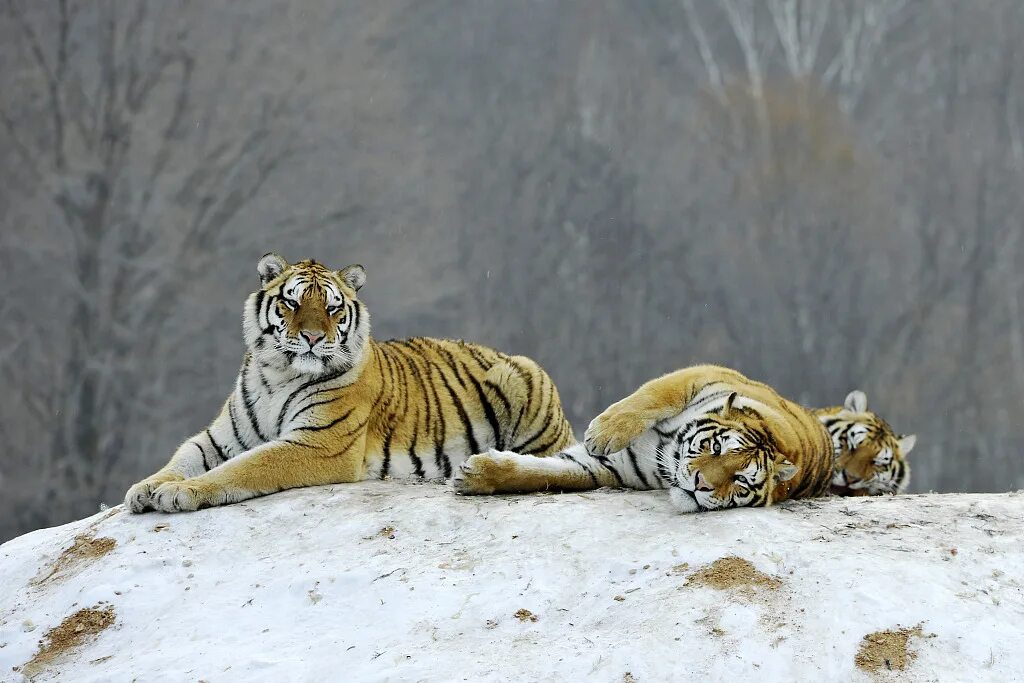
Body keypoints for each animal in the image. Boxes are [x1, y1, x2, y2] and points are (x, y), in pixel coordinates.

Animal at [125, 252, 577, 511]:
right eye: (292, 302)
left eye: (331, 308)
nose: (312, 337)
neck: (278, 373)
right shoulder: (219, 437)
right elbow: (183, 457)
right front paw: (146, 488)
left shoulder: (319, 443)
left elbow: (244, 467)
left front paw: (182, 492)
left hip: (525, 387)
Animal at [452, 362, 835, 511]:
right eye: (714, 447)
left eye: (740, 479)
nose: (701, 485)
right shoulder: (697, 375)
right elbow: (650, 397)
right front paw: (602, 433)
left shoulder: (606, 469)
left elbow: (548, 474)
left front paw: (472, 475)